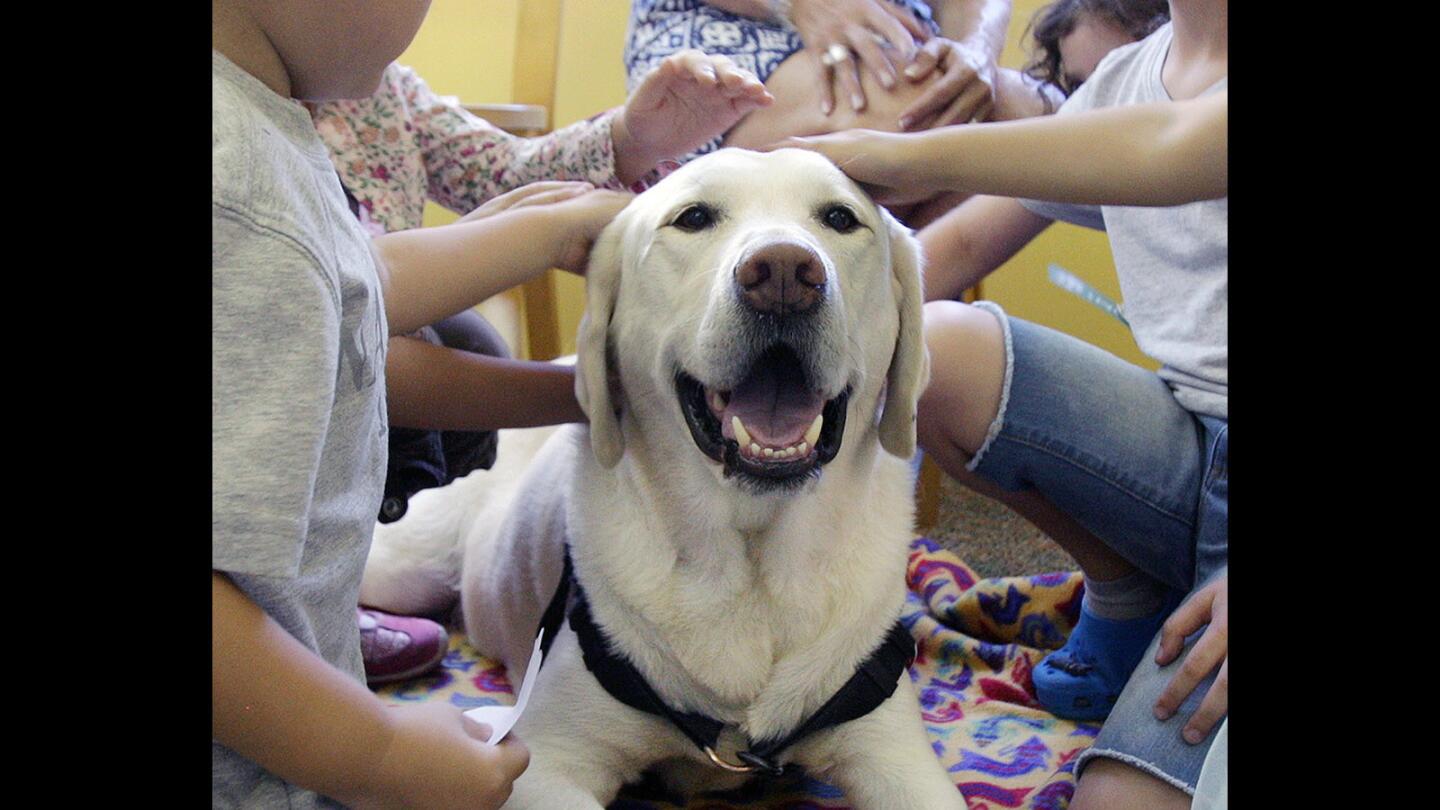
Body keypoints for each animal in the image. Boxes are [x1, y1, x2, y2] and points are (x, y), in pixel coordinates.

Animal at [365, 148, 961, 801]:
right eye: (693, 217)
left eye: (840, 218)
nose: (783, 272)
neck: (749, 564)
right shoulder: (546, 761)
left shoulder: (896, 755)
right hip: (405, 566)